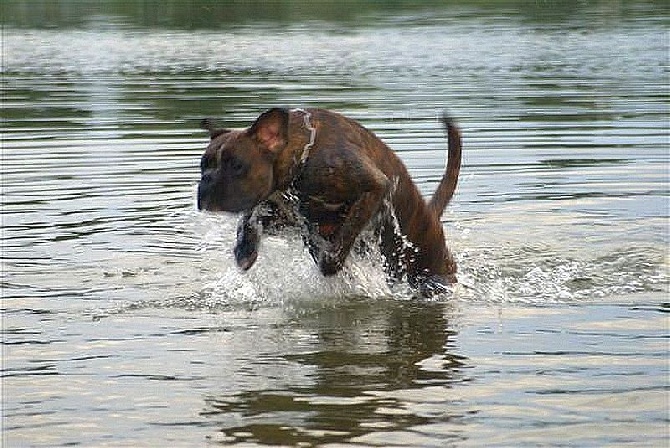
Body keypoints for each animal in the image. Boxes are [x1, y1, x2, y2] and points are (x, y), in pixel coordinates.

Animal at [197, 108, 464, 296]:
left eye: (237, 165)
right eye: (203, 165)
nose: (207, 181)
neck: (302, 152)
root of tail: (430, 214)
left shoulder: (374, 188)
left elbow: (345, 236)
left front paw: (330, 265)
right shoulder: (283, 214)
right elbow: (249, 220)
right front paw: (244, 249)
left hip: (431, 268)